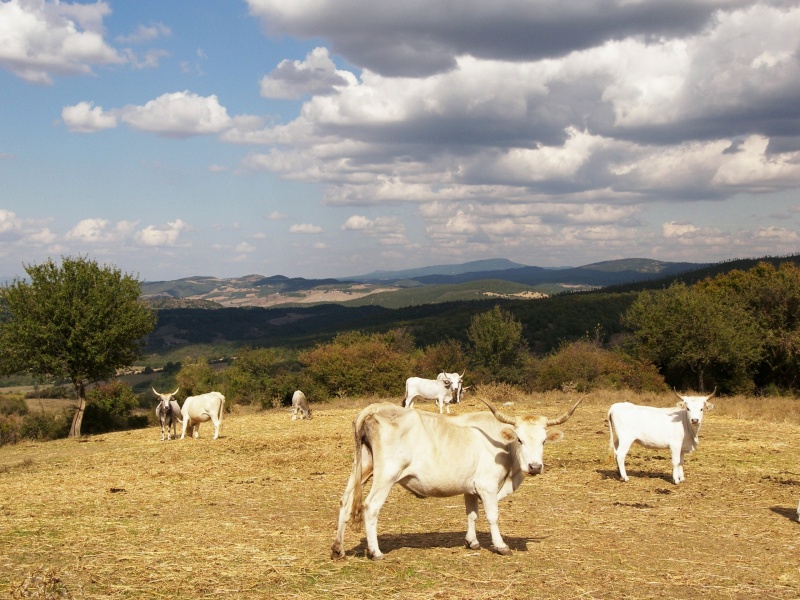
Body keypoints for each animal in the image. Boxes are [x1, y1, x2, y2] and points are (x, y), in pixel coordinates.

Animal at [332, 396, 580, 560]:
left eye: (544, 441)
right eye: (519, 439)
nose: (535, 466)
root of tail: (374, 408)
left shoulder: (470, 488)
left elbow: (472, 514)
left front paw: (472, 542)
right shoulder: (488, 486)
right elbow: (492, 516)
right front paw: (501, 546)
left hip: (362, 468)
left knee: (345, 502)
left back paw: (338, 549)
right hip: (386, 475)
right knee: (370, 507)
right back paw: (375, 552)